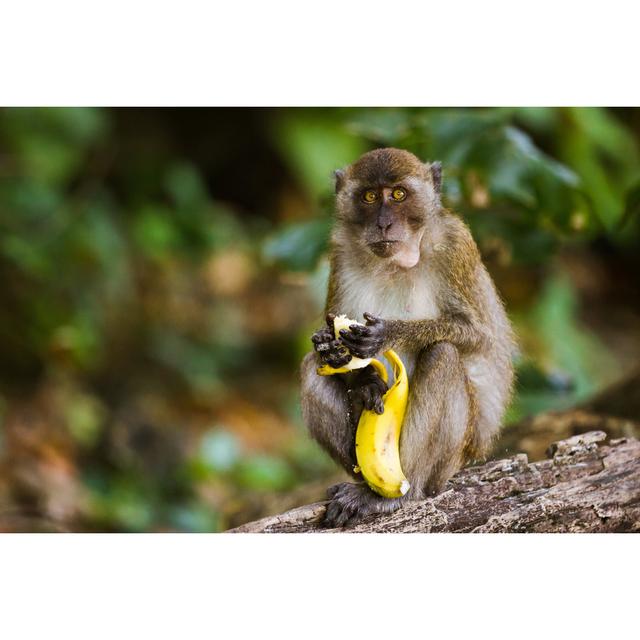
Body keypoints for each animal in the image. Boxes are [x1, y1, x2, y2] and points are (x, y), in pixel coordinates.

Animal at [300, 148, 516, 528]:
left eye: (398, 194)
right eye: (371, 197)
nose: (384, 223)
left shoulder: (455, 245)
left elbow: (479, 335)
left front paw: (388, 333)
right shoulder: (340, 253)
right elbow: (328, 344)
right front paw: (353, 368)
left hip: (453, 457)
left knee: (443, 355)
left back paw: (396, 496)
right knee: (312, 368)